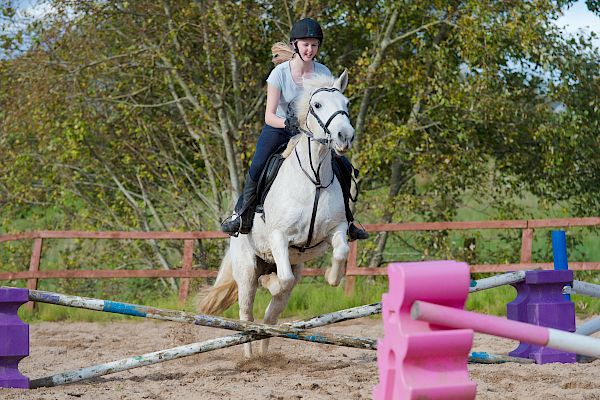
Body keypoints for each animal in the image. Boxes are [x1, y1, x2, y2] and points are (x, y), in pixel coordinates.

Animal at [199, 70, 354, 358]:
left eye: (346, 103)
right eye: (317, 105)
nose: (344, 136)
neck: (314, 177)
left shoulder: (336, 229)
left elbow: (341, 252)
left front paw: (331, 276)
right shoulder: (279, 237)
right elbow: (283, 279)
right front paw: (272, 282)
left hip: (292, 266)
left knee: (270, 318)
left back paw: (264, 355)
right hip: (246, 269)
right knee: (247, 314)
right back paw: (250, 358)